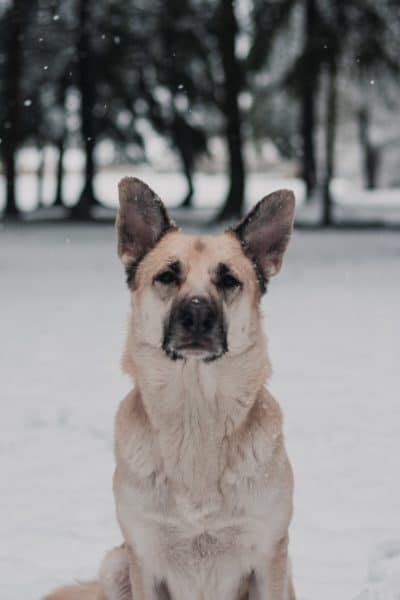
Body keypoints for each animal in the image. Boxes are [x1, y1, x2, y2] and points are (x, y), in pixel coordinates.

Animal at [43, 178, 296, 600]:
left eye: (228, 280)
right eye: (167, 276)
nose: (196, 313)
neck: (195, 416)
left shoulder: (268, 558)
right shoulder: (144, 559)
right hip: (115, 565)